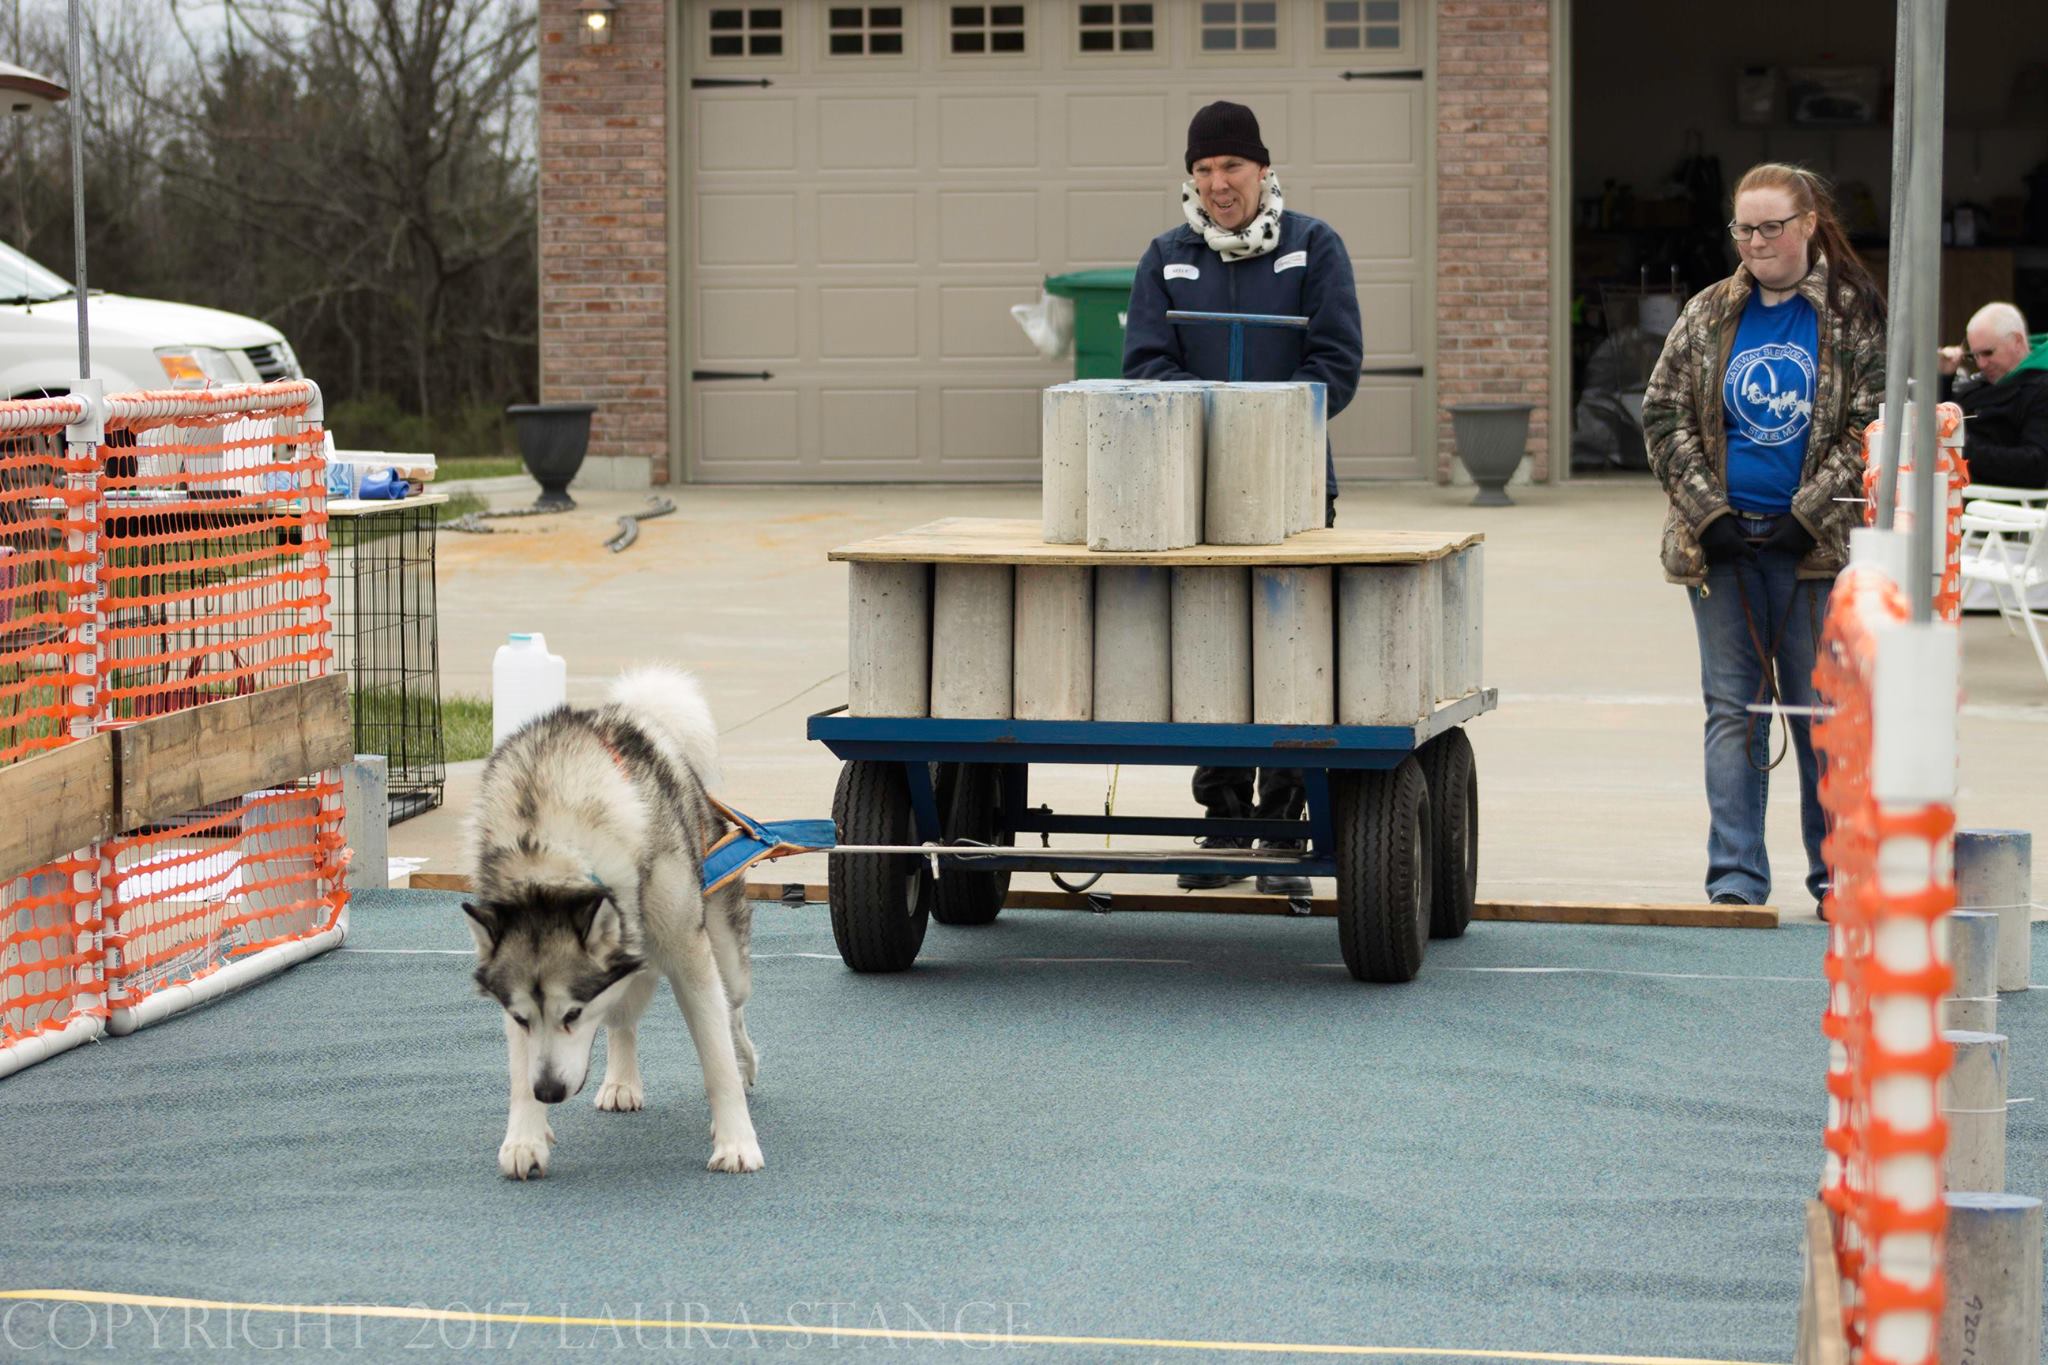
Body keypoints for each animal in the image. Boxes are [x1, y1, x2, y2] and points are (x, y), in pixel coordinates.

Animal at [460, 667, 765, 1178]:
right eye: (521, 1018)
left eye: (572, 1014)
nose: (549, 1092)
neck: (546, 850)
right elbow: (519, 1073)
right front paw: (525, 1137)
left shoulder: (689, 958)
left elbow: (715, 1058)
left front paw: (736, 1141)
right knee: (622, 1021)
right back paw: (621, 1082)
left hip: (725, 955)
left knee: (734, 1009)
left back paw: (745, 1061)